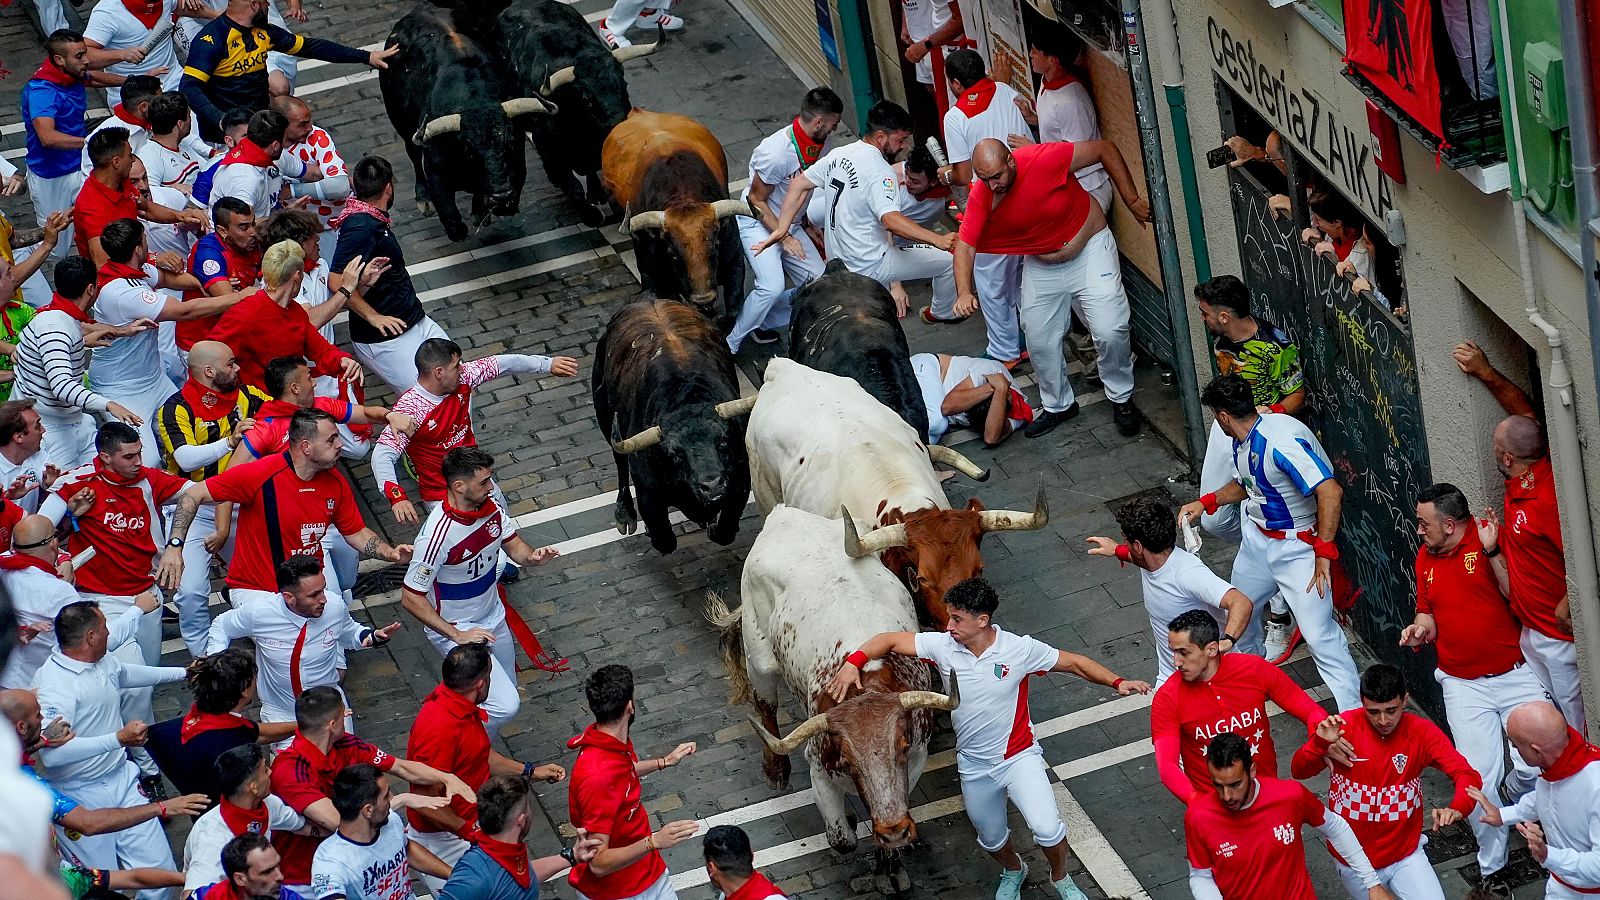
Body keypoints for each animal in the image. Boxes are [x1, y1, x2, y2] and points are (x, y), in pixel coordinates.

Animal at [601, 108, 752, 313]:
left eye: (715, 246)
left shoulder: (734, 263)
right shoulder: (654, 278)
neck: (683, 195)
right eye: (672, 253)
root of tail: (638, 112)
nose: (703, 299)